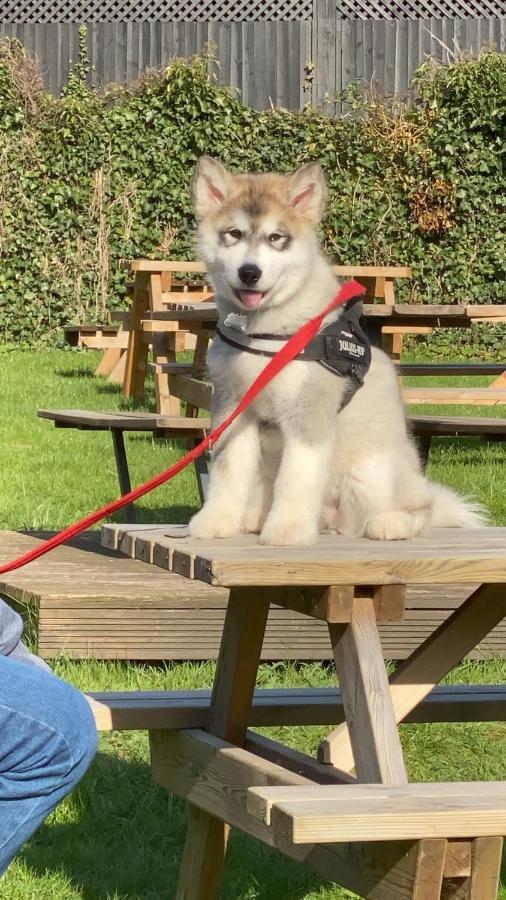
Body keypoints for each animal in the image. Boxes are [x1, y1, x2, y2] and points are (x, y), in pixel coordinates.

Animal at [188, 157, 484, 544]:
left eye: (276, 238)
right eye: (234, 234)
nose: (249, 273)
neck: (265, 334)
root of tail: (332, 520)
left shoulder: (307, 412)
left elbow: (297, 477)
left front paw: (287, 530)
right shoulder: (232, 407)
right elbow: (227, 470)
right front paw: (216, 521)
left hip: (373, 470)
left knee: (422, 510)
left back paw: (391, 523)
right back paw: (255, 517)